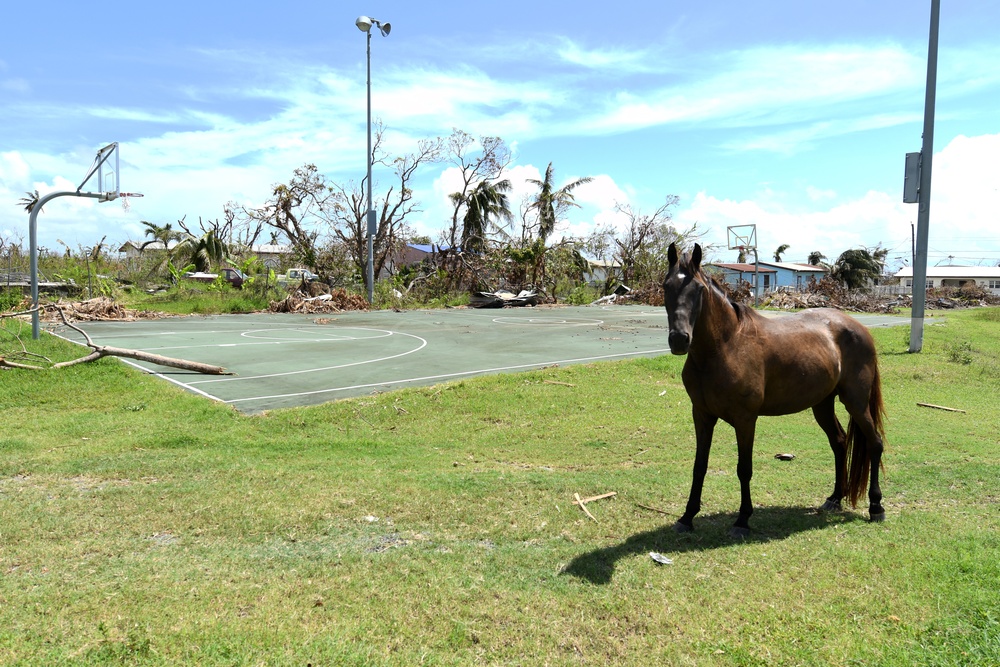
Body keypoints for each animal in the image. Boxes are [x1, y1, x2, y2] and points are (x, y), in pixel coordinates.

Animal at [664, 244, 884, 536]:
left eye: (699, 289)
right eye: (666, 286)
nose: (679, 340)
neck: (725, 346)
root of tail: (860, 329)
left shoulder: (745, 420)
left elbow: (744, 468)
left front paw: (743, 520)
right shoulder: (701, 415)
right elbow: (699, 467)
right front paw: (687, 517)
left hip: (856, 402)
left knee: (874, 443)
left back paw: (876, 507)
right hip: (822, 404)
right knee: (839, 442)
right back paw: (835, 498)